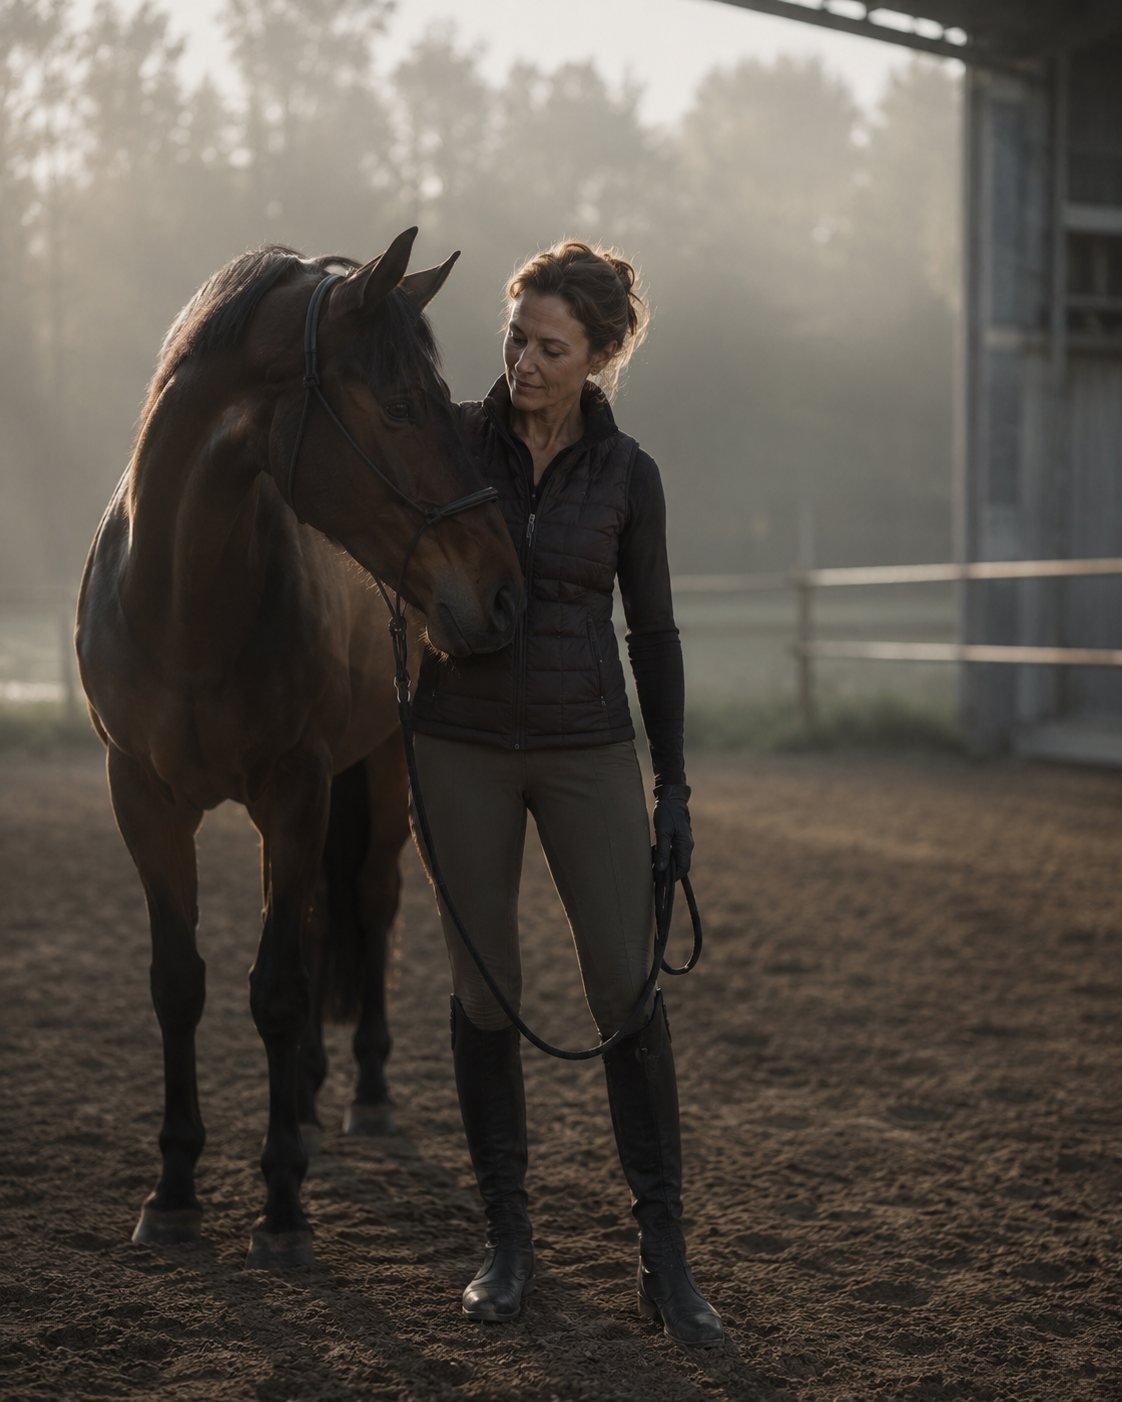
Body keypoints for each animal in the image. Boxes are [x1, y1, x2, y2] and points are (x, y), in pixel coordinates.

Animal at [75, 228, 523, 1268]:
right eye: (399, 405)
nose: (501, 591)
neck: (184, 604)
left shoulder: (295, 789)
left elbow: (277, 989)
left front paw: (281, 1204)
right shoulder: (142, 800)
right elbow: (179, 985)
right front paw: (173, 1189)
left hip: (382, 777)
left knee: (368, 903)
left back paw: (362, 1096)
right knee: (321, 914)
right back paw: (312, 1098)